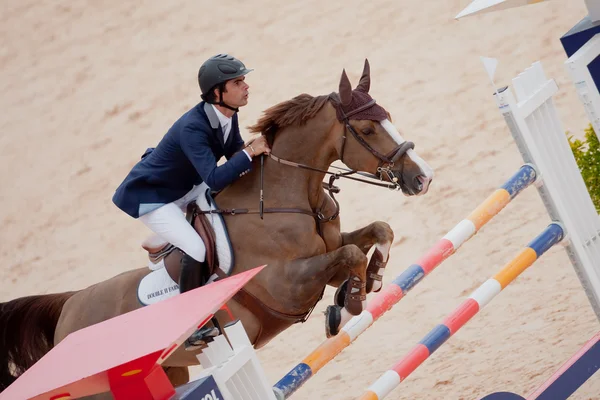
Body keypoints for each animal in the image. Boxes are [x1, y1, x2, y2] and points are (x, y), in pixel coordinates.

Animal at [0, 58, 432, 394]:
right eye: (369, 129)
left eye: (388, 117)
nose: (422, 178)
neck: (289, 198)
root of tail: (68, 308)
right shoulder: (289, 285)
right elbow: (351, 253)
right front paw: (350, 303)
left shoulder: (328, 251)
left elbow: (377, 233)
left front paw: (370, 280)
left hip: (173, 372)